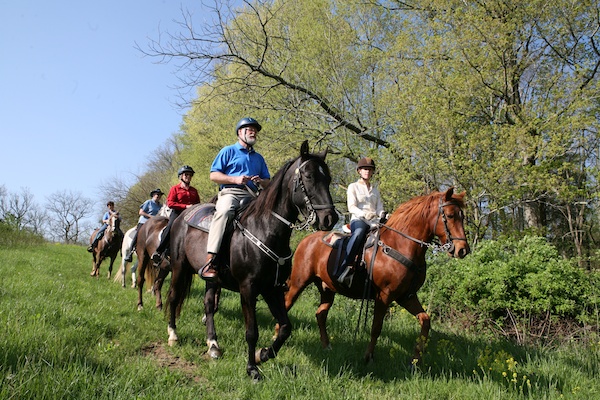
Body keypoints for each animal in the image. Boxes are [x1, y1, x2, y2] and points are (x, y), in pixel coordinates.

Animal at [166, 141, 340, 382]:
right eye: (308, 176)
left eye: (329, 178)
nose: (329, 218)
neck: (265, 229)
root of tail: (183, 217)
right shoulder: (248, 288)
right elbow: (252, 332)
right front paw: (252, 368)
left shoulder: (272, 288)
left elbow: (285, 327)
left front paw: (263, 354)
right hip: (179, 268)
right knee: (174, 297)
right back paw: (173, 335)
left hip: (211, 279)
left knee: (209, 305)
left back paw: (213, 345)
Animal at [284, 188, 472, 366]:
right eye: (450, 215)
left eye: (462, 216)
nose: (463, 250)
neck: (400, 245)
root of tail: (306, 240)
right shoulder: (384, 296)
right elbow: (376, 327)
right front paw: (368, 357)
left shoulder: (406, 296)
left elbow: (425, 321)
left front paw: (416, 361)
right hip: (298, 283)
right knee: (286, 303)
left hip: (327, 289)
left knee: (320, 314)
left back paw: (326, 346)